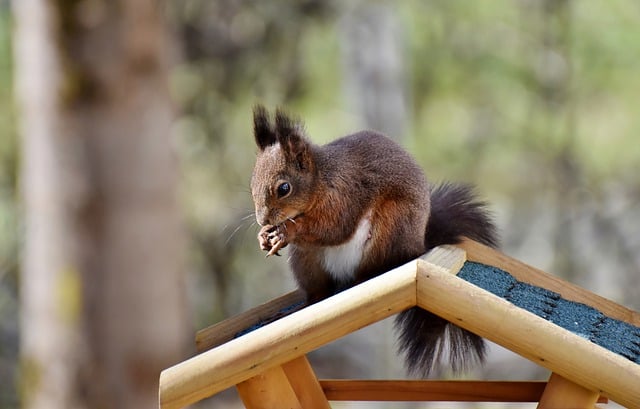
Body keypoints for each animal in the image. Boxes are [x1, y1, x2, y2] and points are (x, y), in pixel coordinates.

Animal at [250, 105, 499, 376]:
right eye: (252, 185)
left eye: (284, 188)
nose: (263, 220)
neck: (322, 178)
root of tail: (419, 244)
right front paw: (264, 236)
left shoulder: (345, 193)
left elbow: (334, 227)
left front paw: (286, 232)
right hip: (306, 261)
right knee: (317, 294)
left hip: (389, 227)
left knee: (373, 273)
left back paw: (362, 282)